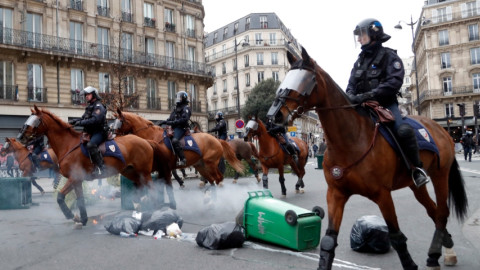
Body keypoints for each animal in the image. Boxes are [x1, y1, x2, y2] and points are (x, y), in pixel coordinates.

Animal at [16, 104, 170, 227]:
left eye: (35, 121)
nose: (20, 137)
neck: (68, 145)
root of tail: (146, 141)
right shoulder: (76, 180)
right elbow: (80, 199)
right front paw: (82, 219)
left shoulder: (74, 178)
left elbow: (60, 197)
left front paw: (71, 215)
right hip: (131, 172)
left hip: (144, 173)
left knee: (152, 188)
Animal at [112, 108, 244, 189]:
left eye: (120, 122)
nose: (113, 136)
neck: (153, 137)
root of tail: (216, 139)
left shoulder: (165, 166)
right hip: (201, 165)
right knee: (212, 179)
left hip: (210, 164)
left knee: (218, 177)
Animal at [264, 47, 466, 270]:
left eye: (305, 80)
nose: (273, 116)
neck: (351, 140)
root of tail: (441, 128)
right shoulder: (336, 194)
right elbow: (329, 240)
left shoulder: (383, 195)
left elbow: (397, 237)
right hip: (415, 185)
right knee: (434, 212)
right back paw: (437, 252)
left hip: (440, 175)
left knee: (442, 212)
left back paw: (443, 252)